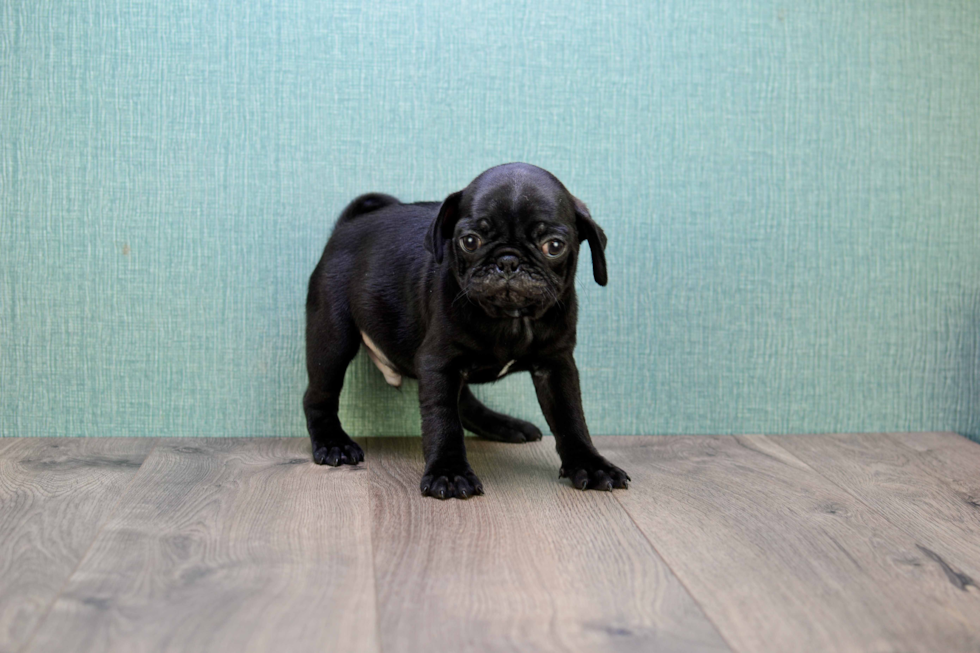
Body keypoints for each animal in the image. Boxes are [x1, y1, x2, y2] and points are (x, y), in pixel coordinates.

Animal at [302, 163, 632, 500]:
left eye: (554, 246)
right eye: (470, 241)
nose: (508, 260)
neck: (511, 319)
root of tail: (345, 226)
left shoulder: (556, 364)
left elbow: (571, 417)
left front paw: (591, 464)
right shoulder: (438, 363)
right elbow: (443, 418)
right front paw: (448, 472)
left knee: (465, 401)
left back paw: (503, 425)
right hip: (333, 338)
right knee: (319, 394)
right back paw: (333, 443)